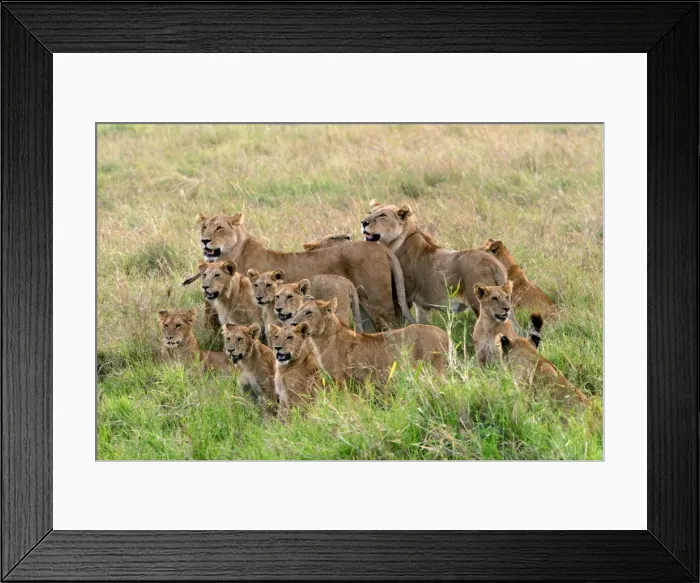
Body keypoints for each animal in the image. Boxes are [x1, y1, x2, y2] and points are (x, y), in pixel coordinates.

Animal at [195, 212, 414, 329]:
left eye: (219, 228)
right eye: (204, 227)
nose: (204, 240)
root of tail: (381, 248)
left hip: (380, 303)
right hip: (362, 306)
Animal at [289, 297, 450, 385]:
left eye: (308, 312)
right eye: (297, 311)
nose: (292, 323)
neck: (320, 340)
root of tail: (445, 335)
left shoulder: (341, 378)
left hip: (435, 370)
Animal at [360, 201, 509, 324]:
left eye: (382, 215)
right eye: (370, 213)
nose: (363, 222)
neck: (394, 243)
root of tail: (494, 263)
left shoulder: (404, 297)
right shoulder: (422, 306)